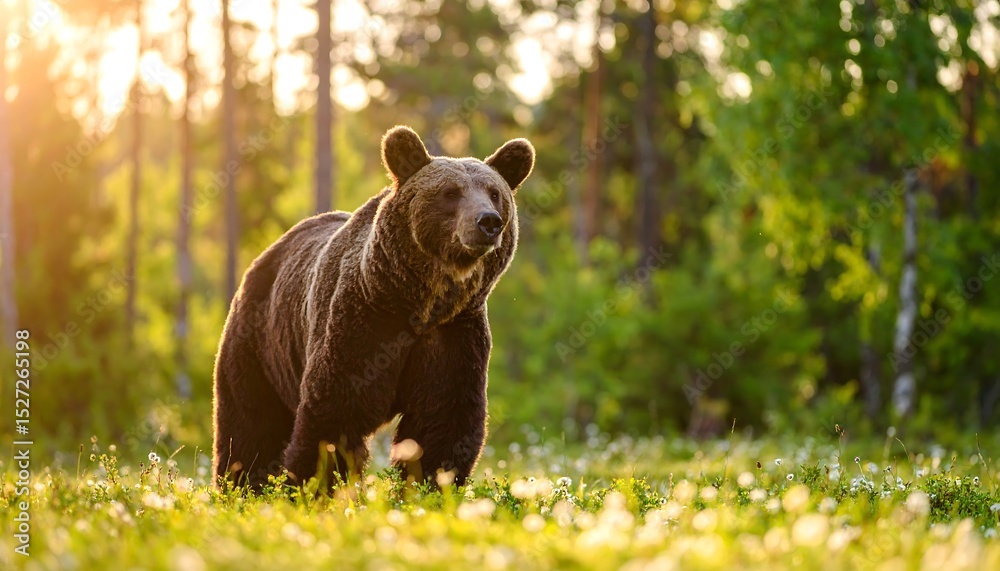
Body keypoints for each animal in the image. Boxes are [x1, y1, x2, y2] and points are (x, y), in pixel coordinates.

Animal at [212, 125, 535, 490]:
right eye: (450, 193)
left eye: (494, 193)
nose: (488, 222)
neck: (419, 302)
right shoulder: (364, 320)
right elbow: (335, 411)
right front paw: (313, 484)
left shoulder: (453, 333)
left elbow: (444, 417)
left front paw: (431, 484)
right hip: (260, 342)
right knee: (250, 420)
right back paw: (239, 484)